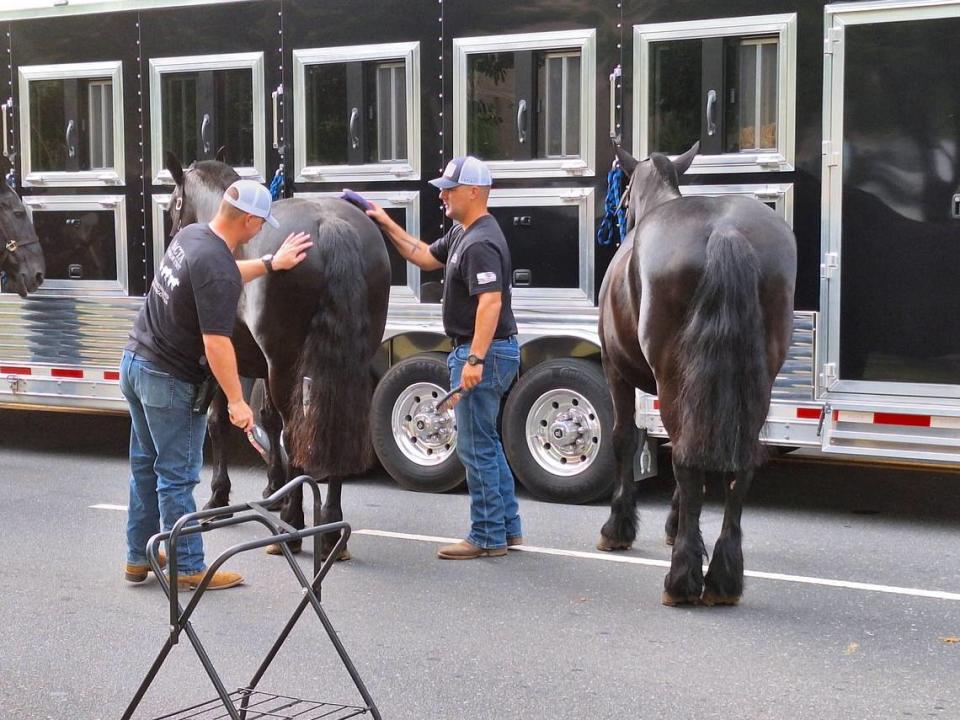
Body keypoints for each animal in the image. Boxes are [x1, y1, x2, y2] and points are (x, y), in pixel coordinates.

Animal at [165, 153, 390, 556]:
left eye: (173, 204)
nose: (174, 238)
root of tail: (331, 224)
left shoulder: (227, 358)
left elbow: (219, 421)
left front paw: (219, 497)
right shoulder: (259, 365)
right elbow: (266, 420)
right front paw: (273, 487)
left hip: (285, 365)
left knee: (296, 430)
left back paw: (295, 523)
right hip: (341, 364)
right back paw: (330, 528)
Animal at [596, 143, 800, 604]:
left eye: (623, 194)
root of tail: (727, 233)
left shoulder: (615, 368)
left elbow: (624, 438)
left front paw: (618, 527)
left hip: (674, 378)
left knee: (687, 462)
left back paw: (682, 578)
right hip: (754, 385)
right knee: (738, 465)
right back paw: (724, 577)